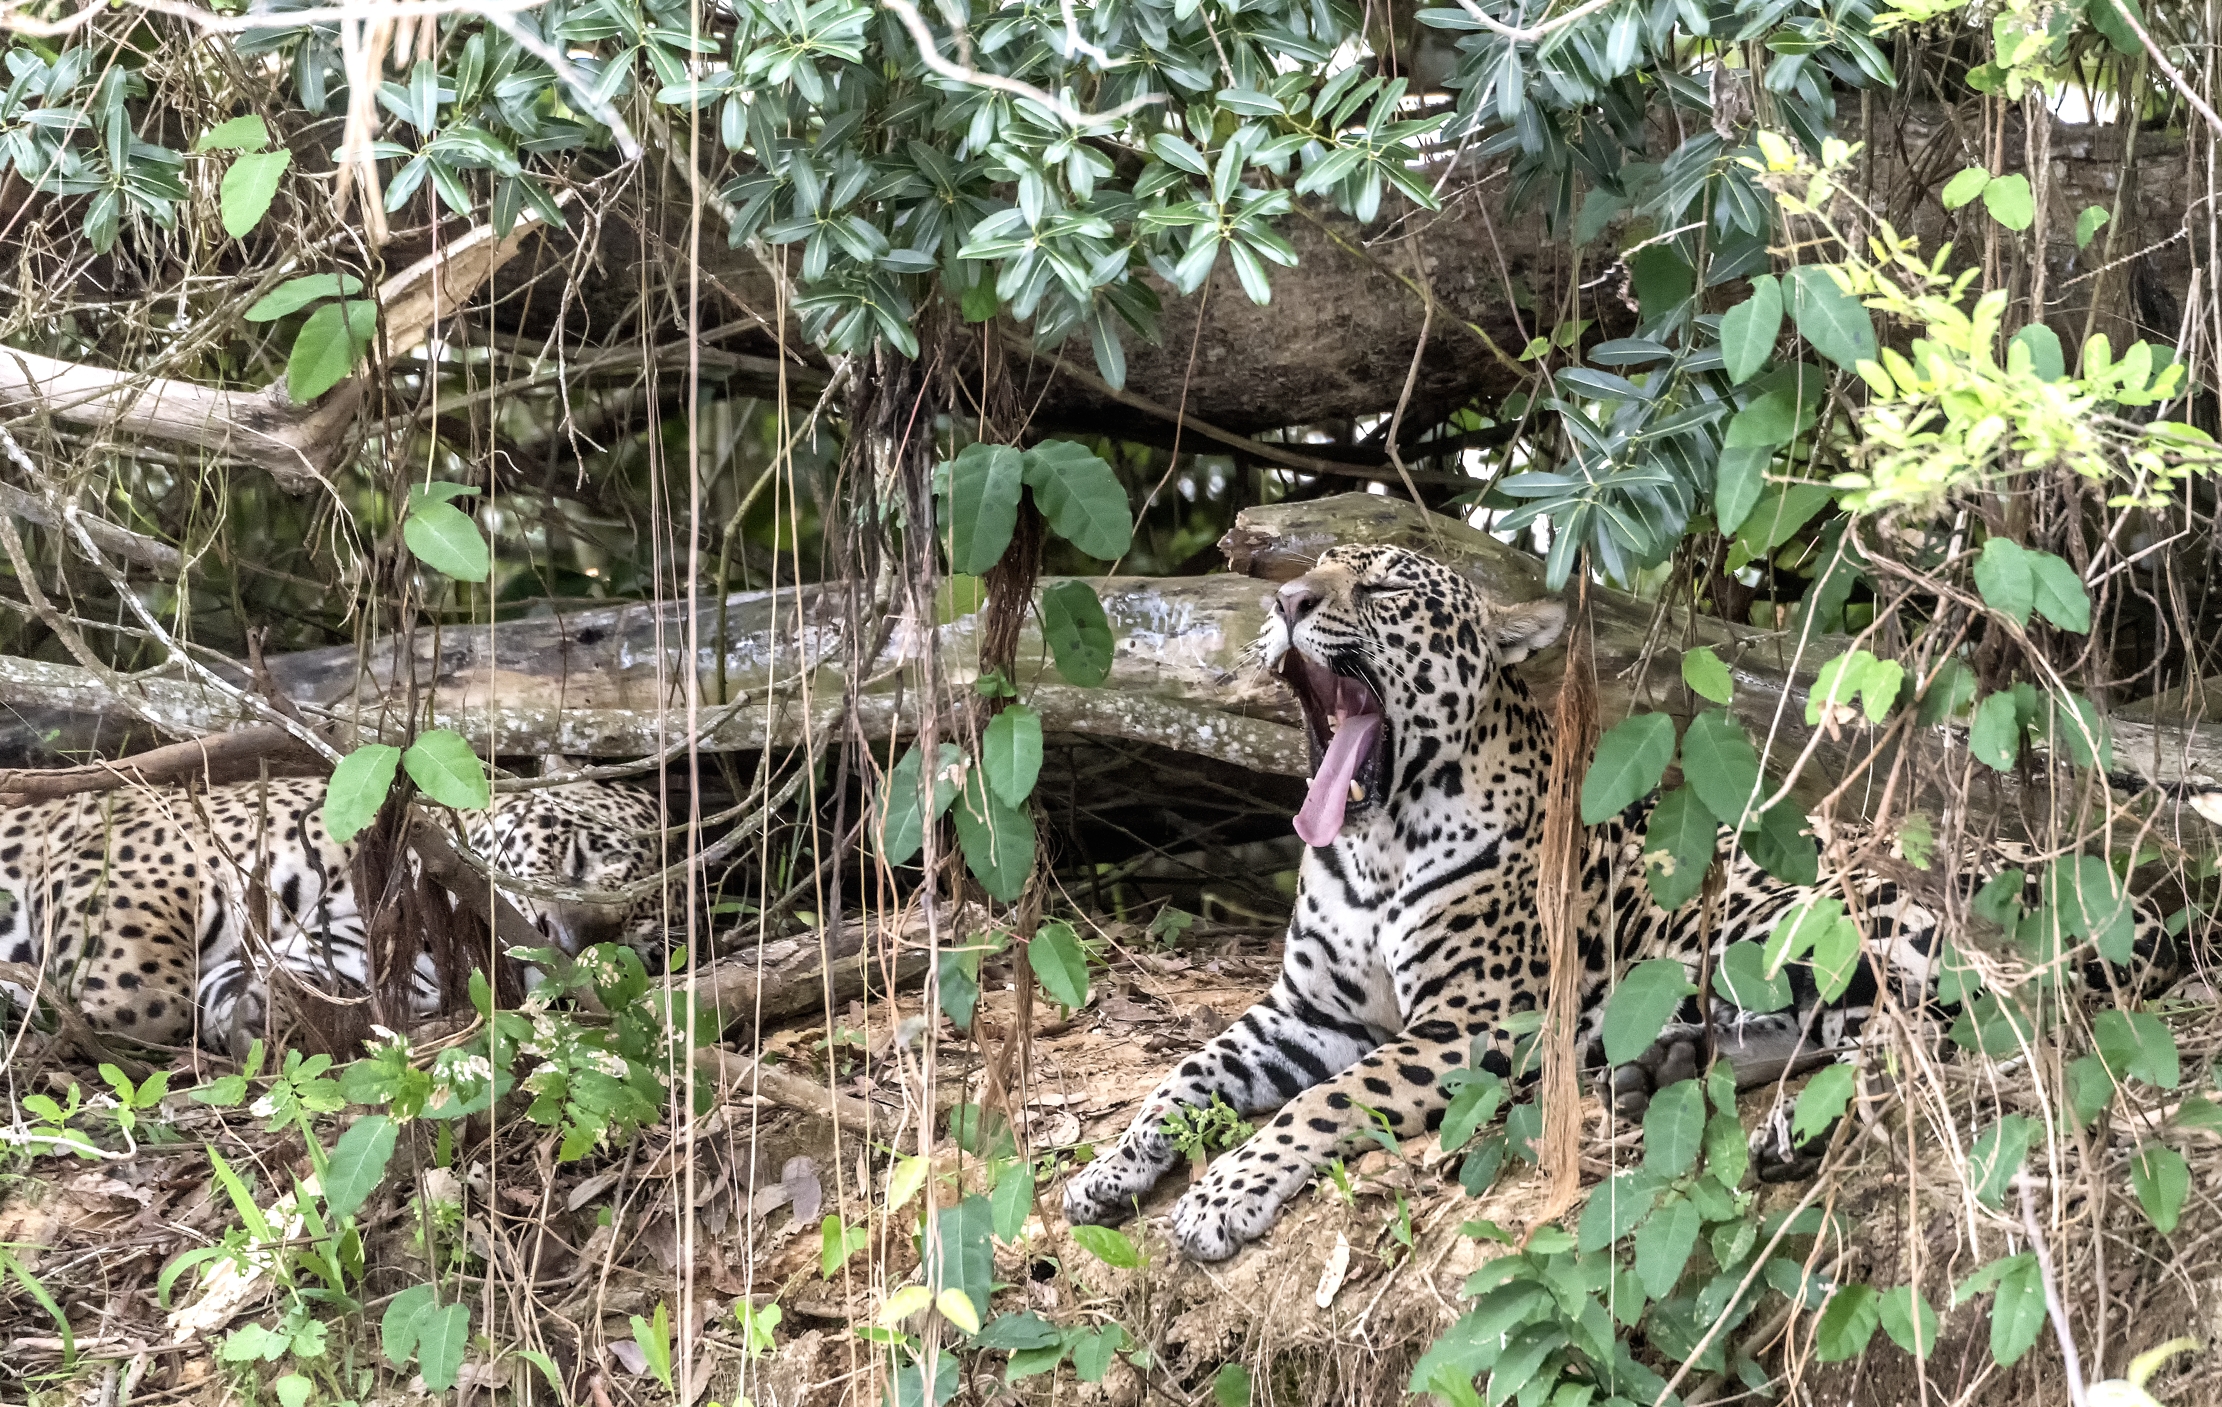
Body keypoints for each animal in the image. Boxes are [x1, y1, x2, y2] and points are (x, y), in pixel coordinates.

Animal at [1062, 543, 2174, 1262]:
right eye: (1311, 575)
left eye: (1377, 586)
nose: (1288, 599)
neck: (1375, 838)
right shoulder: (1307, 1010)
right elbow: (1185, 1073)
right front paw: (1110, 1169)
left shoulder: (1468, 1024)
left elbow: (1323, 1102)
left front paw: (1221, 1195)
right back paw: (1662, 1066)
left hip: (1793, 917)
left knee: (1944, 1034)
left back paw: (1788, 1124)